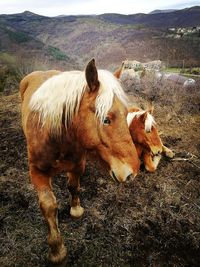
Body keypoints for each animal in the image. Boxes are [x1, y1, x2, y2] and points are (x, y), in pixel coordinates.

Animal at [19, 59, 139, 264]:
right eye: (106, 119)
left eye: (126, 114)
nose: (133, 172)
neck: (56, 137)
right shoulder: (36, 172)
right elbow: (48, 206)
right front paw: (57, 249)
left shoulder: (77, 164)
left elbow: (73, 186)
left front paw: (75, 209)